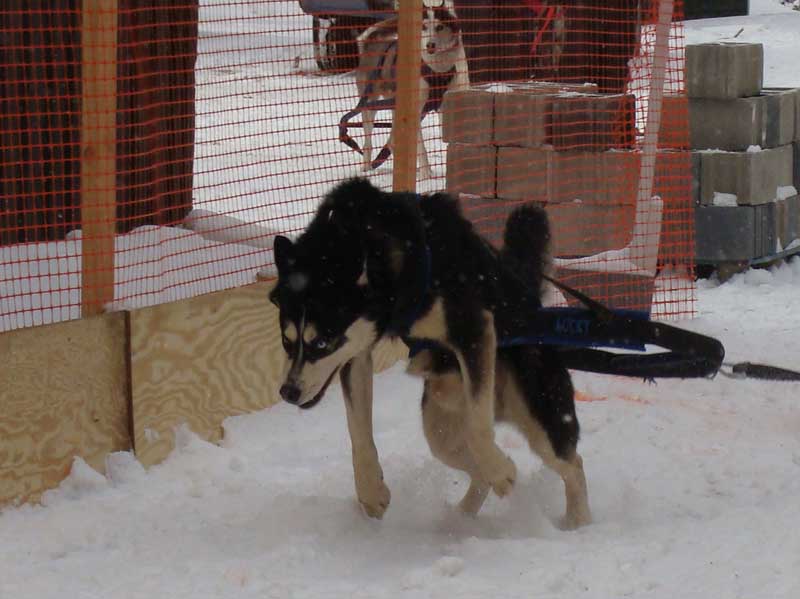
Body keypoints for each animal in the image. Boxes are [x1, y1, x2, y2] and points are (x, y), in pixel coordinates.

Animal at [272, 179, 592, 528]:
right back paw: (460, 518)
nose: (288, 391)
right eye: (287, 340)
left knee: (572, 463)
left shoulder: (473, 329)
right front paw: (371, 491)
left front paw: (502, 471)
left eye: (321, 343)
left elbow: (479, 429)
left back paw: (577, 522)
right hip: (440, 425)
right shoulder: (356, 353)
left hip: (540, 417)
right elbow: (358, 432)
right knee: (470, 467)